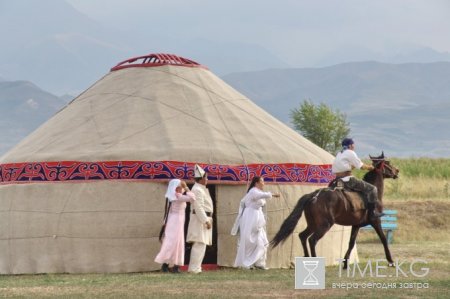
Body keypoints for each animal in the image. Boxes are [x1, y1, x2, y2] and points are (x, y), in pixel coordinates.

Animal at [268, 152, 400, 270]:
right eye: (388, 163)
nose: (397, 171)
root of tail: (314, 195)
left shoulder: (356, 225)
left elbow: (351, 243)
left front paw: (345, 263)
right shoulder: (376, 221)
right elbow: (383, 240)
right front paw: (391, 261)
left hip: (313, 224)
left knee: (303, 236)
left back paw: (306, 257)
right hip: (325, 225)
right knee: (312, 240)